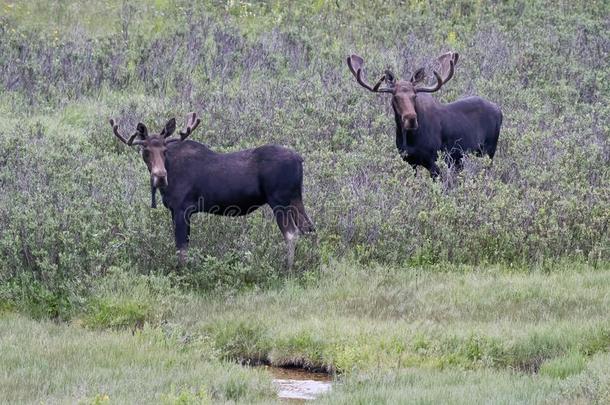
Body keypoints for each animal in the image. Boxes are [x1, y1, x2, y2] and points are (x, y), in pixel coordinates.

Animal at [108, 112, 314, 266]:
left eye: (164, 151)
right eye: (146, 151)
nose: (160, 176)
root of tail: (300, 159)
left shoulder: (182, 209)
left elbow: (182, 249)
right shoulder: (176, 211)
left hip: (279, 200)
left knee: (291, 233)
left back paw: (287, 269)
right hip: (296, 198)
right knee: (309, 228)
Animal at [344, 51, 502, 175]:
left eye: (414, 95)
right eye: (395, 97)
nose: (411, 119)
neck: (410, 139)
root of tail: (500, 111)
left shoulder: (434, 162)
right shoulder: (410, 161)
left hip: (489, 151)